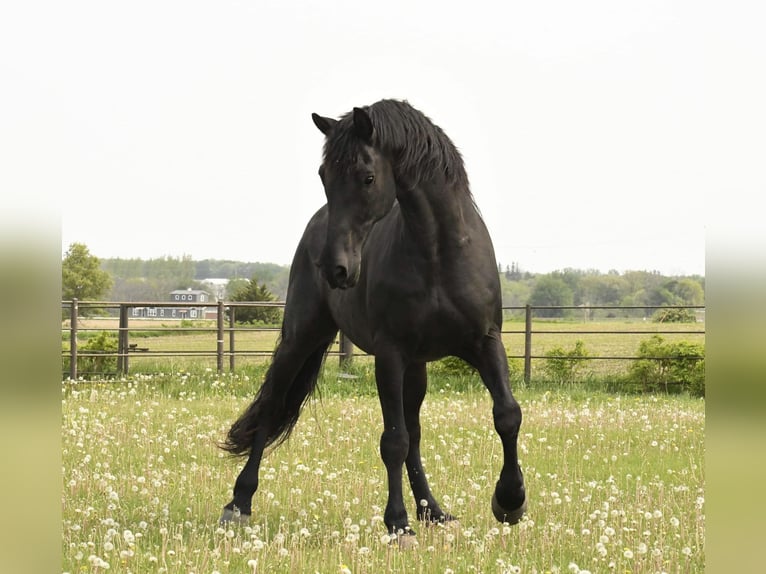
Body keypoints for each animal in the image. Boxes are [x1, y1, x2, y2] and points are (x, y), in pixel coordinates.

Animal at [222, 100, 528, 540]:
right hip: (301, 339)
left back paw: (433, 510)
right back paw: (239, 503)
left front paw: (510, 500)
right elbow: (393, 441)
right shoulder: (390, 355)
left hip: (416, 366)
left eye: (367, 177)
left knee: (416, 432)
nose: (335, 268)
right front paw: (397, 523)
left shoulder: (485, 342)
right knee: (272, 407)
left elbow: (506, 414)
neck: (438, 252)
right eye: (324, 176)